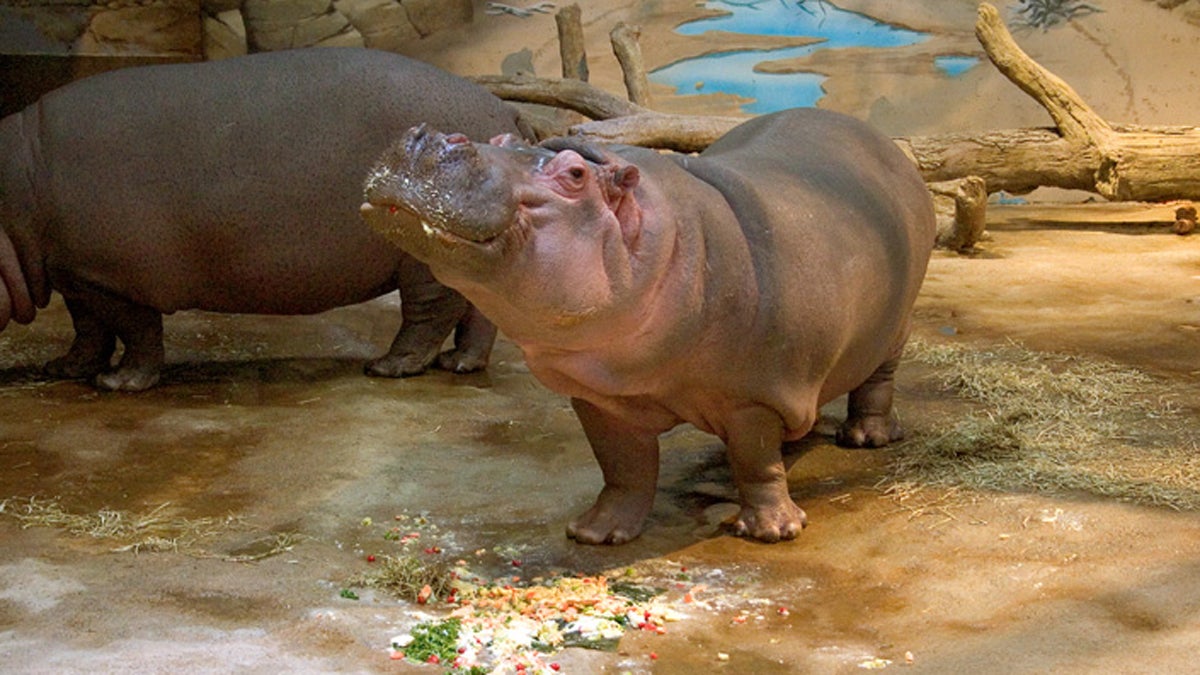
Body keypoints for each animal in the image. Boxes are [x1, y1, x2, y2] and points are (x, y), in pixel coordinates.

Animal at [0, 47, 528, 391]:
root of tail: (500, 105)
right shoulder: (74, 273)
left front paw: (118, 383)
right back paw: (459, 364)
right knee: (478, 310)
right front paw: (63, 369)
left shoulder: (114, 278)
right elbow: (88, 328)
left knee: (429, 311)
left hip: (424, 254)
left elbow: (136, 332)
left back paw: (388, 367)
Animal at [360, 108, 936, 544]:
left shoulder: (751, 396)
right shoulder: (597, 396)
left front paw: (773, 531)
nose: (427, 137)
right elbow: (624, 466)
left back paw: (866, 438)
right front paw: (595, 533)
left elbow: (754, 460)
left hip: (895, 326)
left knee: (877, 380)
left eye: (574, 175)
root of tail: (881, 140)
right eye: (499, 141)